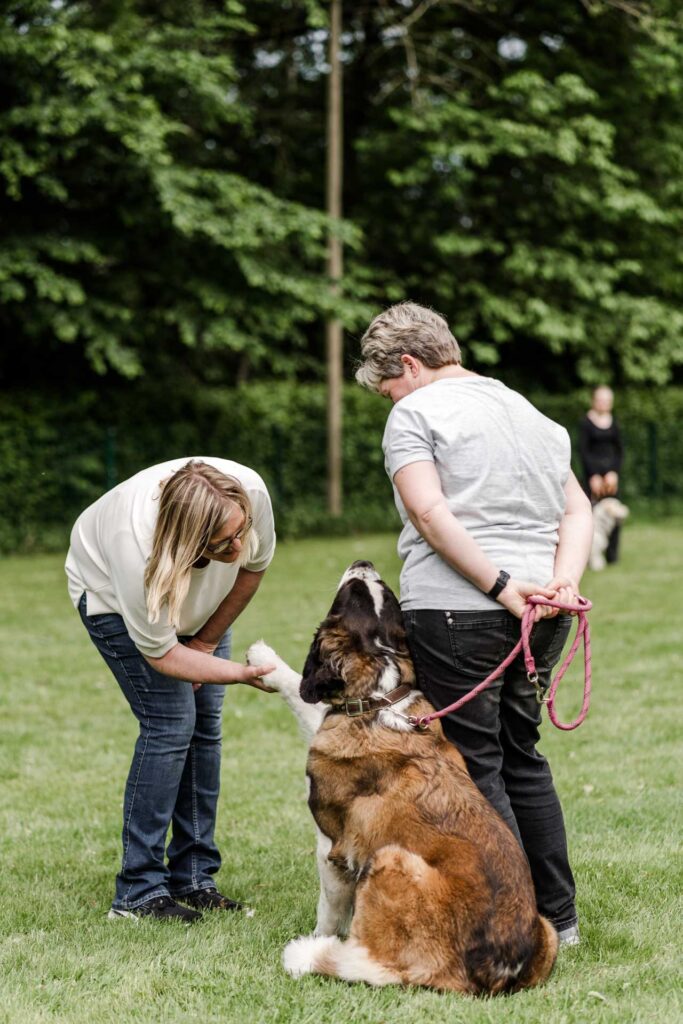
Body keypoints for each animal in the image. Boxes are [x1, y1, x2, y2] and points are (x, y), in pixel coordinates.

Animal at [248, 561, 557, 991]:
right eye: (386, 597)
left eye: (353, 595)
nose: (363, 563)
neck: (381, 698)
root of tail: (492, 970)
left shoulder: (333, 847)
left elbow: (328, 910)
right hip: (550, 930)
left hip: (389, 857)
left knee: (377, 965)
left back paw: (308, 956)